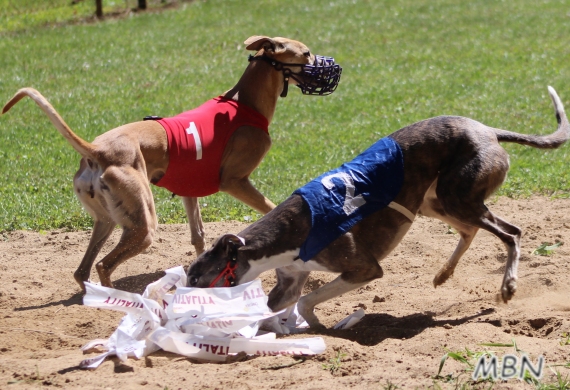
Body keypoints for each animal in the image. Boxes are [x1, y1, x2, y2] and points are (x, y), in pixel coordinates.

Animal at [3, 36, 342, 292]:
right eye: (306, 52)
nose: (333, 66)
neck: (243, 104)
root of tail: (96, 150)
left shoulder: (190, 191)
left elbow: (199, 236)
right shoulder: (235, 182)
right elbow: (271, 208)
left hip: (107, 219)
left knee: (83, 270)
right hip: (143, 225)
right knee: (103, 265)